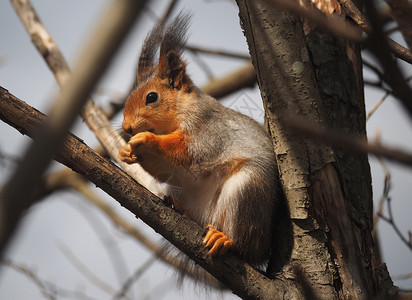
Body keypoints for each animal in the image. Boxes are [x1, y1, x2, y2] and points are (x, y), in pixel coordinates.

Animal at [117, 12, 282, 268]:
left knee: (244, 247)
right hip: (184, 193)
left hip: (246, 190)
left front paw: (148, 138)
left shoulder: (206, 129)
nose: (126, 128)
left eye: (151, 97)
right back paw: (181, 209)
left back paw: (225, 239)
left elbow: (189, 150)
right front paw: (126, 152)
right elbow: (164, 170)